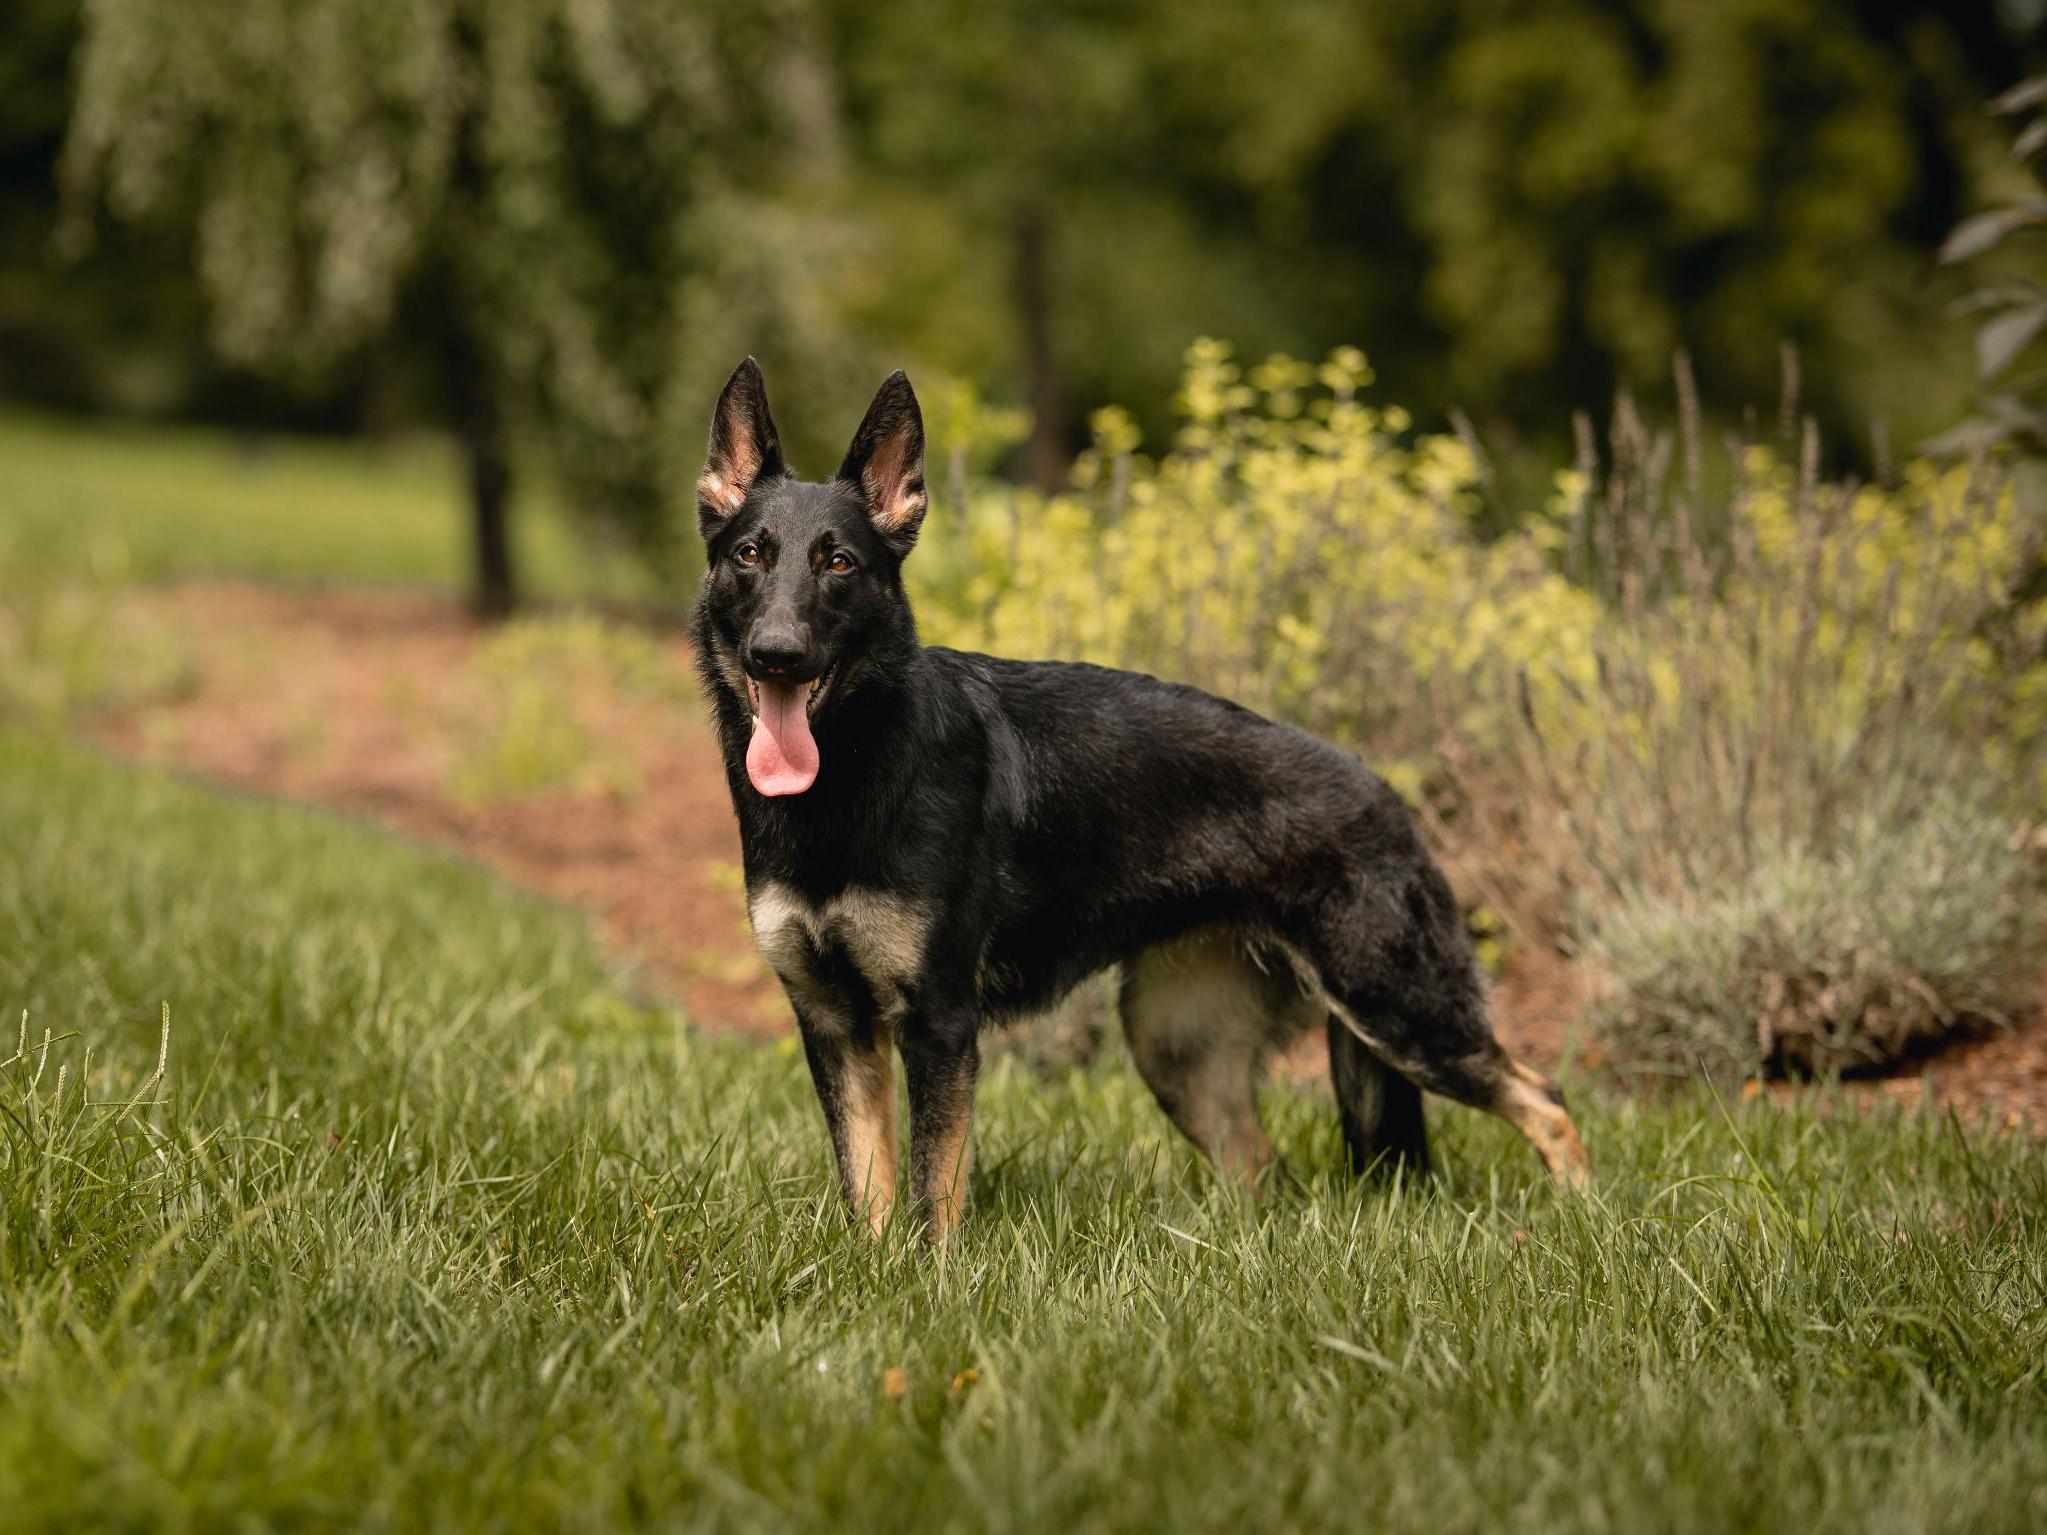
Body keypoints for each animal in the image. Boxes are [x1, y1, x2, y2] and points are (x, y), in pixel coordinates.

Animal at [695, 358, 1588, 1236]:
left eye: (839, 563)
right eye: (750, 555)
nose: (776, 654)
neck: (851, 780)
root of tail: (1387, 793)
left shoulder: (938, 1023)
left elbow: (932, 1198)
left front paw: (929, 1275)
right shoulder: (836, 1027)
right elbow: (870, 1195)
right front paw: (880, 1270)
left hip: (1400, 1008)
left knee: (1546, 1098)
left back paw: (1581, 1216)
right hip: (1178, 1048)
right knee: (1263, 1171)